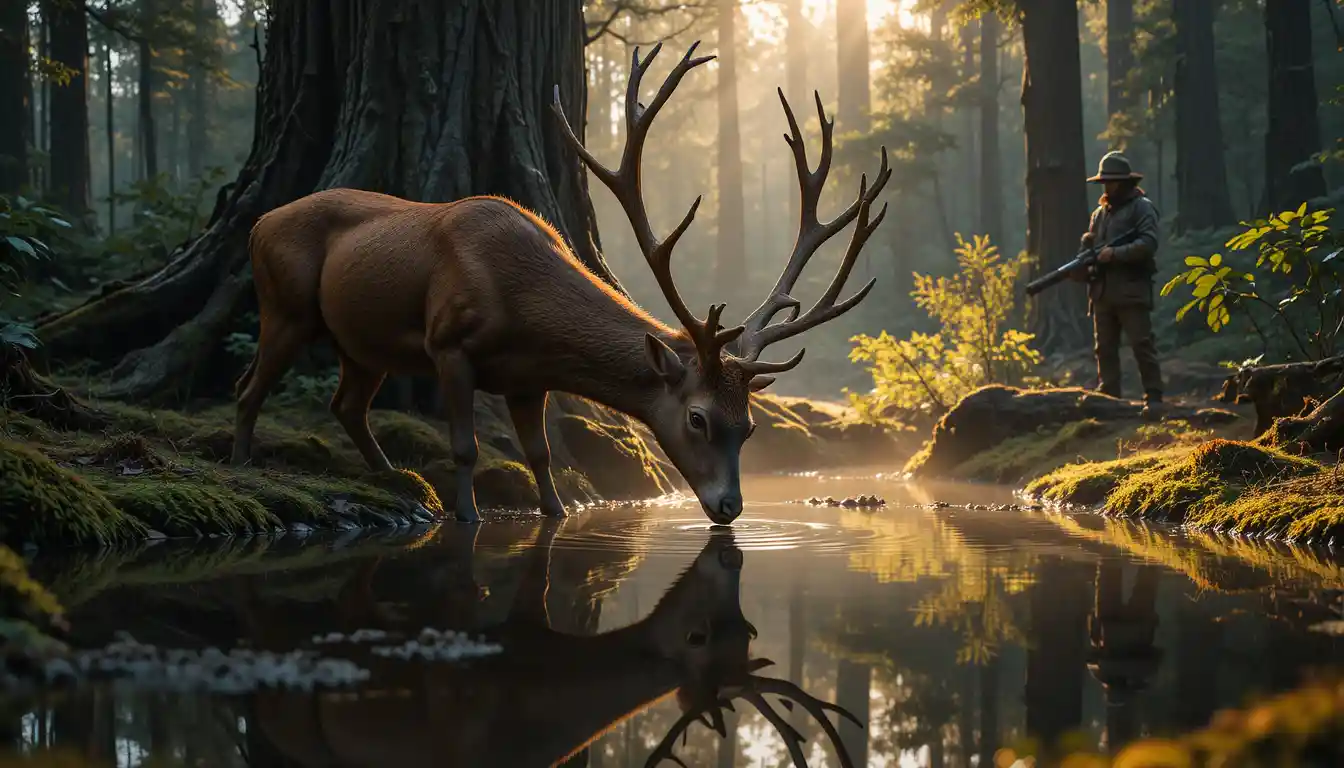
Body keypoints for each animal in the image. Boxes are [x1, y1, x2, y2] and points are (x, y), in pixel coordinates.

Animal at [229, 41, 891, 525]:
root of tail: (258, 223)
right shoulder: (448, 342)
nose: (729, 507)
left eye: (749, 425)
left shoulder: (528, 379)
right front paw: (467, 516)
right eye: (699, 418)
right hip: (283, 305)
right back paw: (244, 466)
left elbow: (541, 457)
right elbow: (467, 447)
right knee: (247, 387)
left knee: (345, 404)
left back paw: (394, 477)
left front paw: (555, 512)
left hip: (362, 345)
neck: (523, 310)